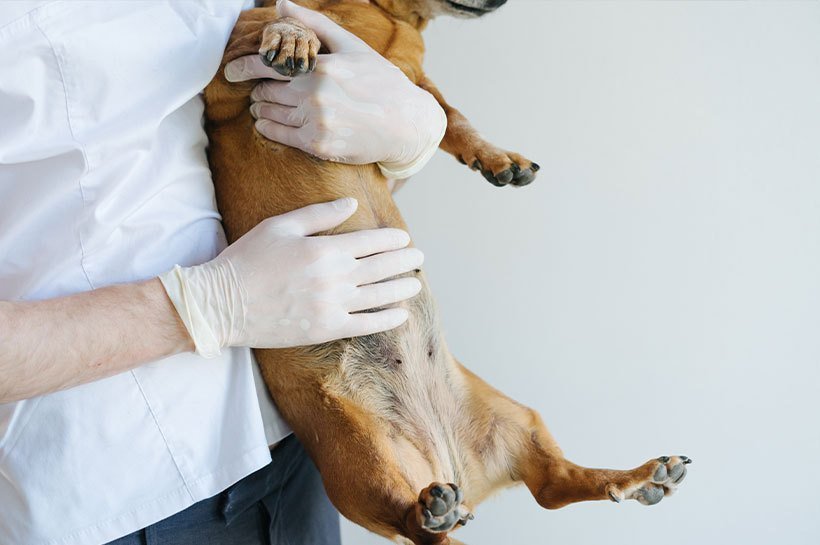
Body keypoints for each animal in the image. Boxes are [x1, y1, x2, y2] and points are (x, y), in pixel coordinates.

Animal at [202, 2, 688, 540]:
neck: (381, 15)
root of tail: (449, 466)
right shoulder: (223, 87)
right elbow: (273, 23)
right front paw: (291, 37)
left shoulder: (413, 86)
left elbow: (449, 116)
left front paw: (497, 157)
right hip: (357, 454)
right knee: (415, 521)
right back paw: (431, 510)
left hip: (518, 419)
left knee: (552, 486)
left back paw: (639, 476)